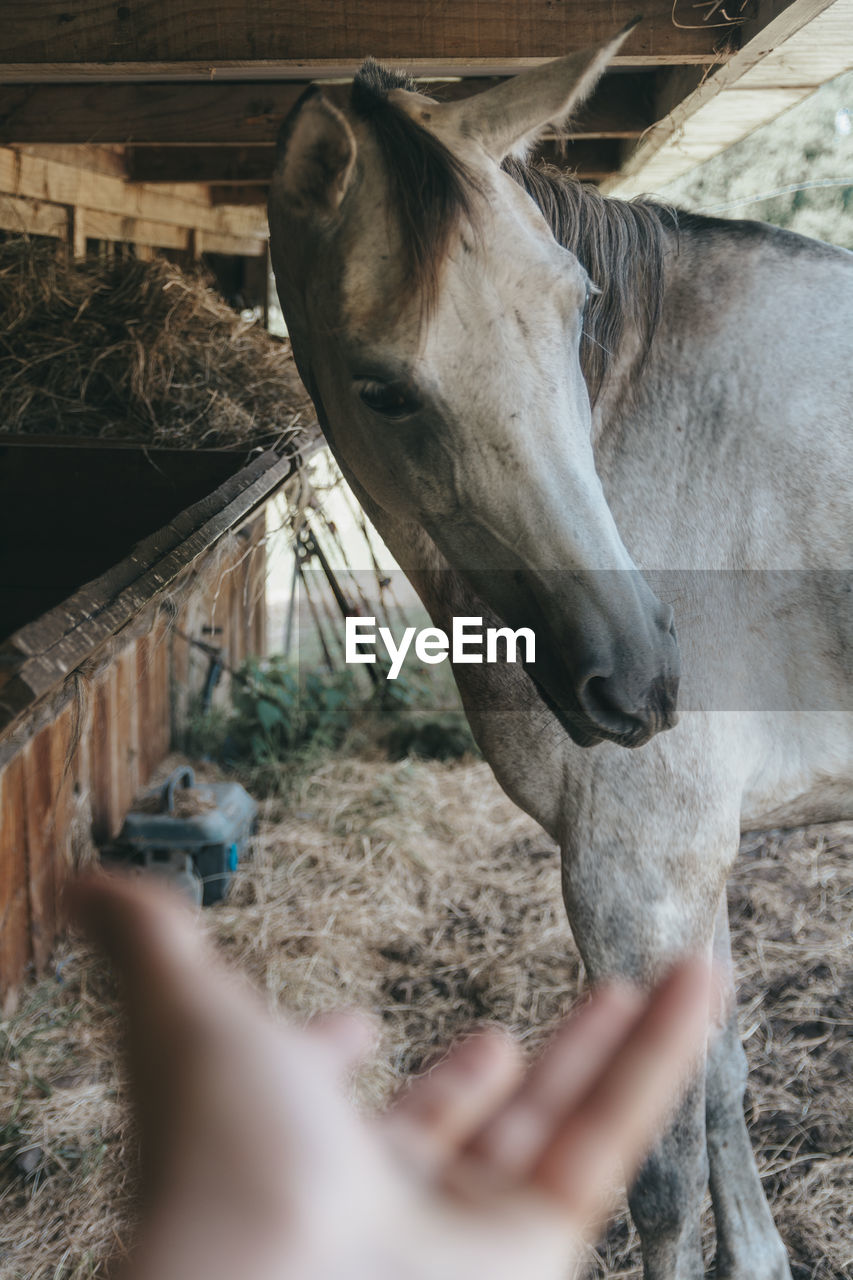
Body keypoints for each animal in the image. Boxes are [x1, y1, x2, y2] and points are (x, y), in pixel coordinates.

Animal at [267, 27, 850, 1280]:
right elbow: (718, 1075)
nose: (634, 678)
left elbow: (659, 1177)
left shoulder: (637, 867)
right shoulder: (681, 865)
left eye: (577, 305)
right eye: (383, 387)